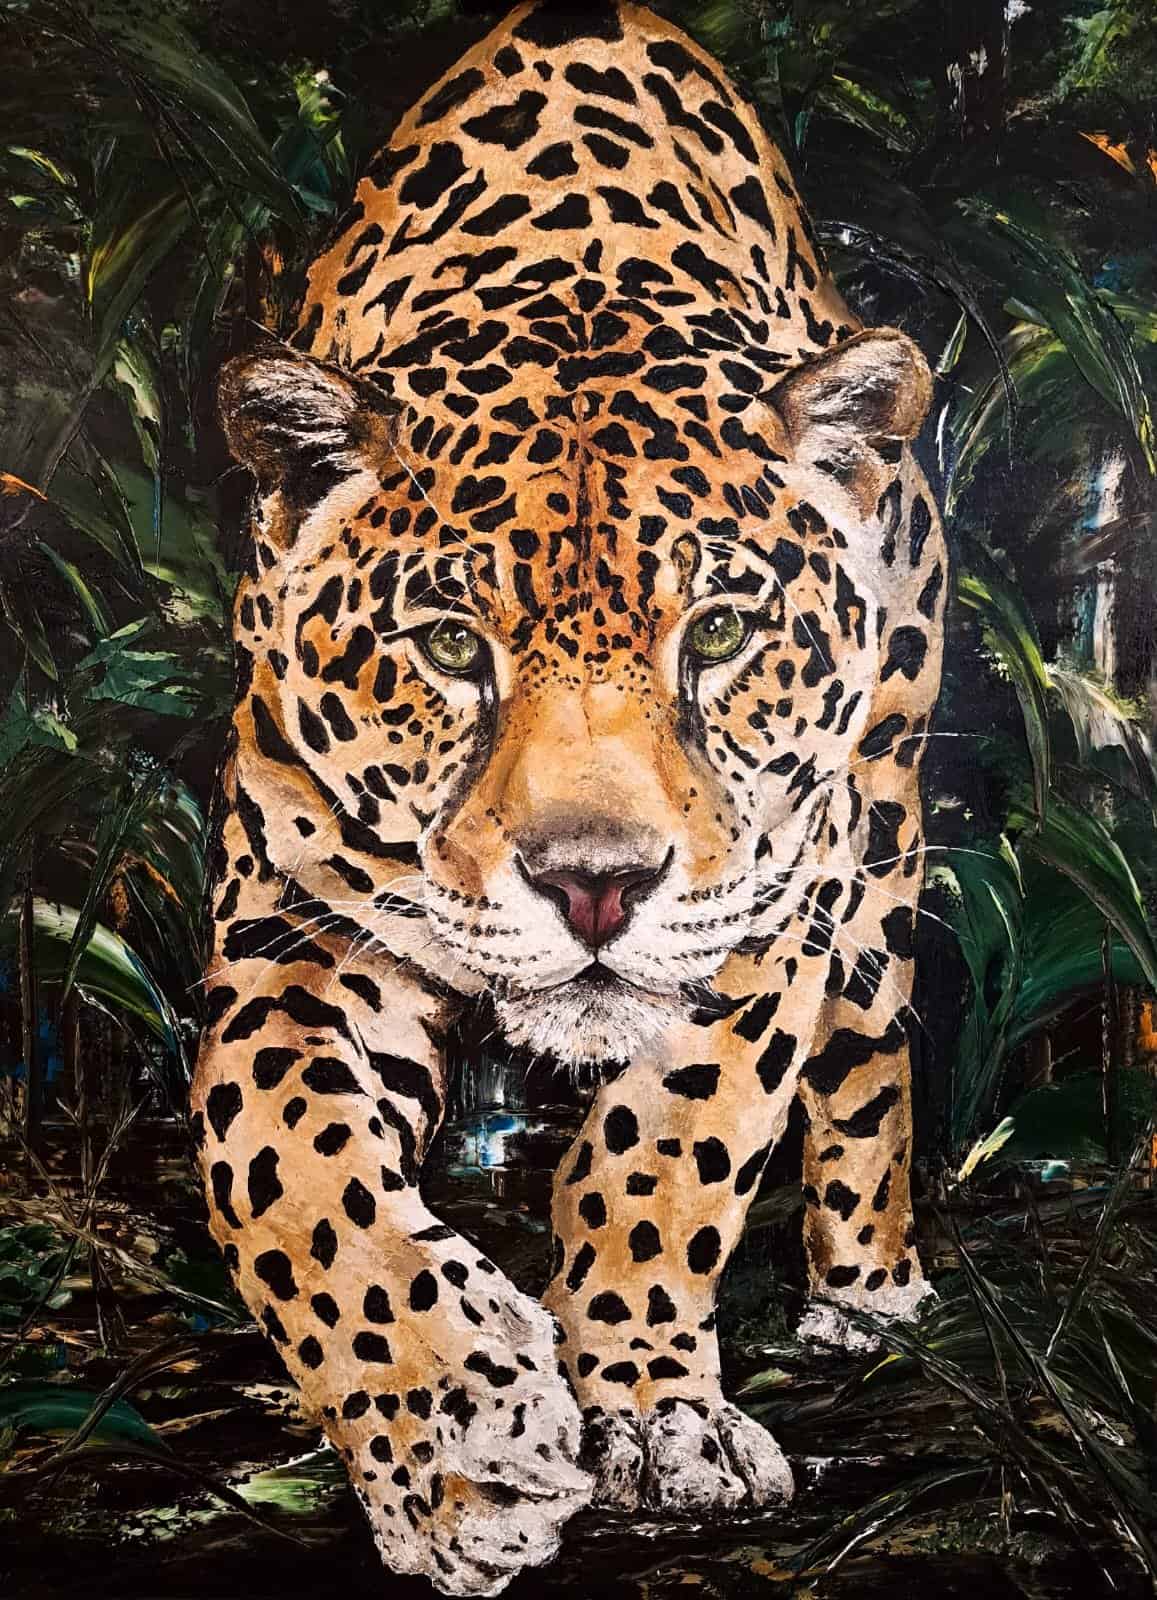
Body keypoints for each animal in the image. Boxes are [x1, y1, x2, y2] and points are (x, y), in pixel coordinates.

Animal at [190, 1, 947, 1593]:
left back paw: (865, 1292)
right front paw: (460, 1451)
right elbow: (295, 1177)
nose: (595, 884)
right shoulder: (291, 929)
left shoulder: (766, 904)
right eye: (447, 648)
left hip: (885, 808)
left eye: (714, 636)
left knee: (870, 1048)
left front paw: (657, 1416)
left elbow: (670, 1145)